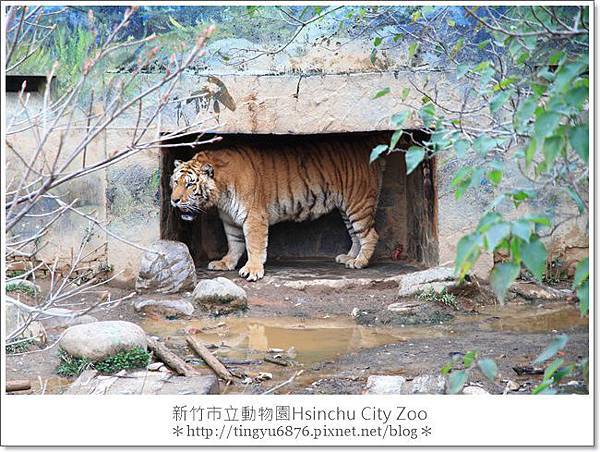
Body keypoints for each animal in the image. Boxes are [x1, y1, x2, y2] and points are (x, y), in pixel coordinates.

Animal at [169, 136, 384, 280]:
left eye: (190, 184)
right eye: (175, 182)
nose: (173, 200)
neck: (221, 194)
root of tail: (367, 146)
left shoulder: (254, 217)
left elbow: (254, 245)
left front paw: (252, 270)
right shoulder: (230, 220)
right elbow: (235, 243)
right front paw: (225, 263)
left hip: (358, 204)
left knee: (370, 235)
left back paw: (359, 262)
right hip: (347, 209)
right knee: (355, 235)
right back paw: (349, 257)